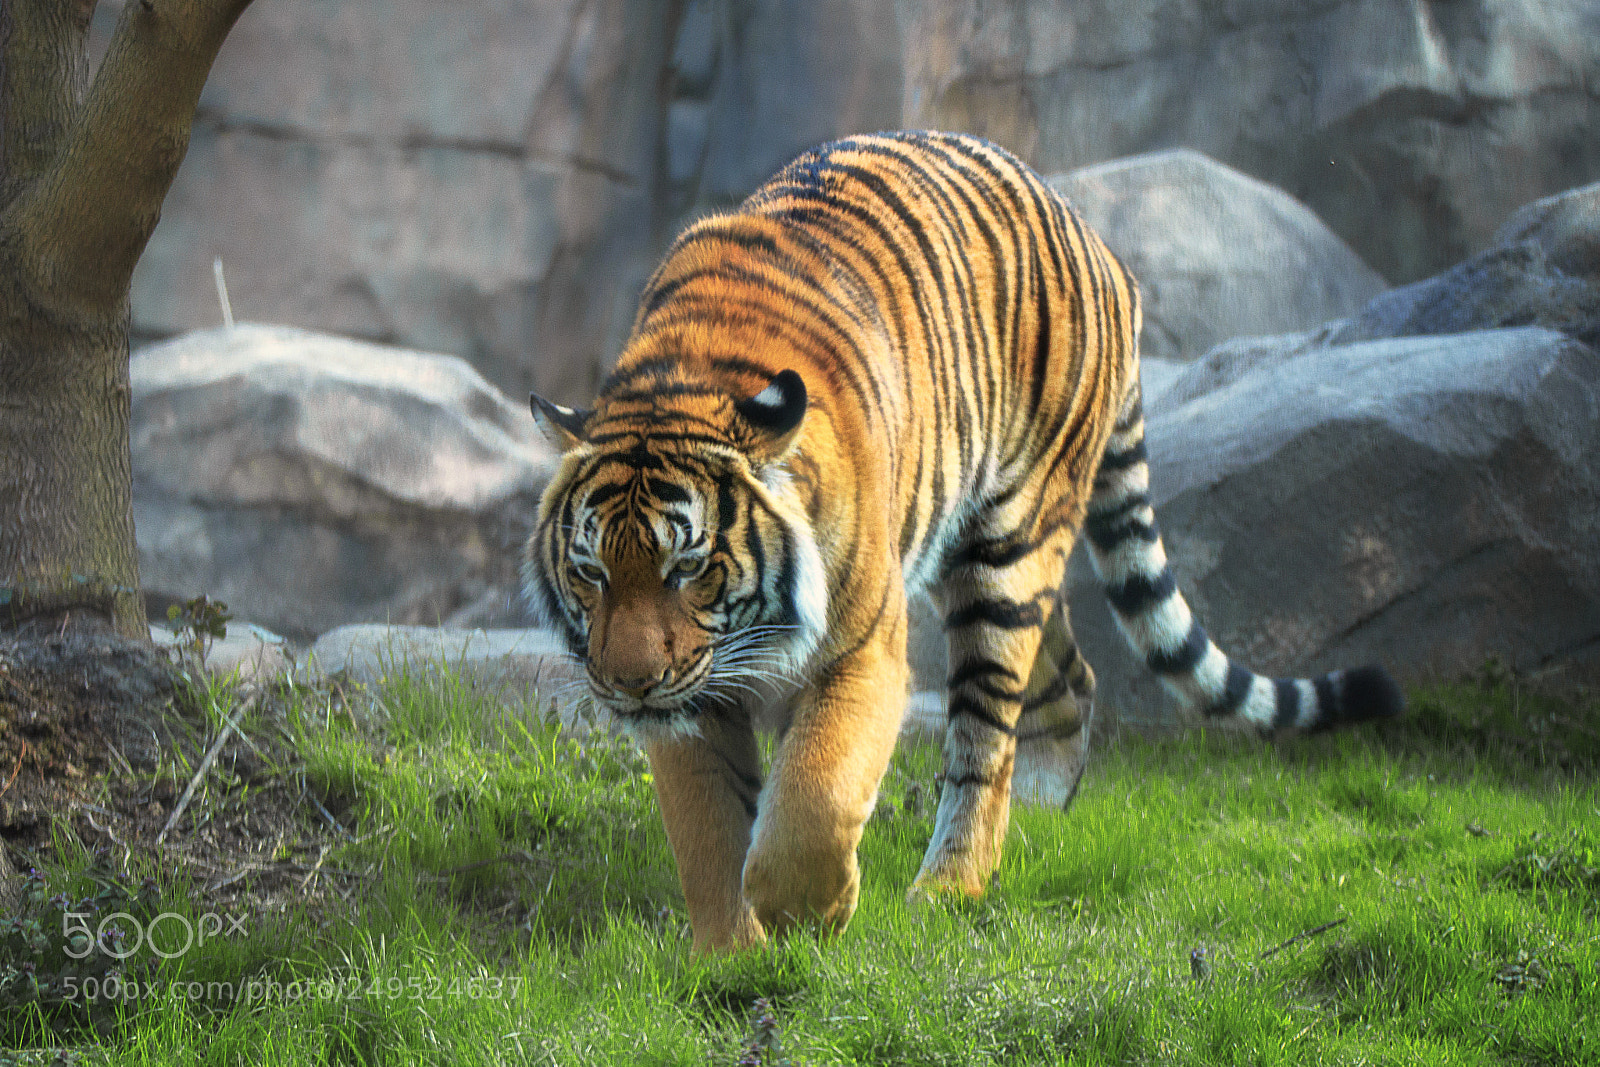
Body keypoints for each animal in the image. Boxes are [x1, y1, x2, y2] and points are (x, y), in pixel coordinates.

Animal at [523, 130, 1403, 954]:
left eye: (691, 569)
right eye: (592, 572)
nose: (629, 685)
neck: (681, 379)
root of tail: (1105, 252)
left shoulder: (862, 646)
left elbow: (819, 786)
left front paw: (810, 909)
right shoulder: (694, 692)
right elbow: (704, 821)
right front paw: (728, 957)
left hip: (1008, 552)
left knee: (987, 729)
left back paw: (951, 884)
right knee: (1068, 680)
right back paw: (1041, 822)